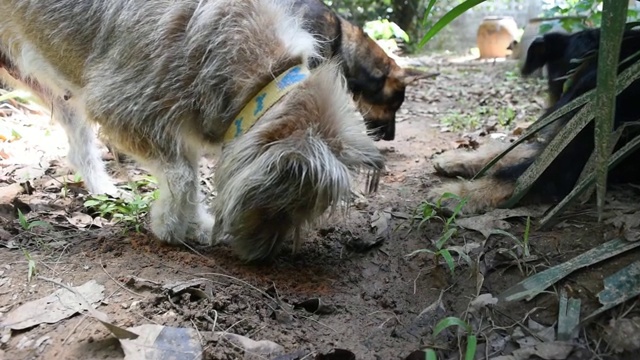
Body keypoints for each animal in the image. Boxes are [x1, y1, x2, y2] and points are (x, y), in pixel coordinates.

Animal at [0, 0, 382, 260]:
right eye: (281, 209)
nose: (262, 258)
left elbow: (190, 175)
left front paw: (195, 222)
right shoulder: (120, 109)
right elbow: (182, 175)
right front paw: (172, 225)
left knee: (79, 149)